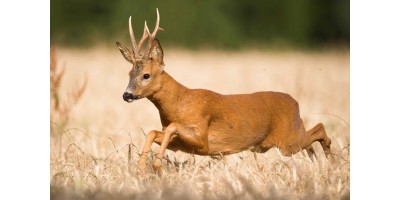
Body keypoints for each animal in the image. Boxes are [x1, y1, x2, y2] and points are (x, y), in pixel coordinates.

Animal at [115, 8, 332, 173]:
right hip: (289, 137)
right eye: (129, 73)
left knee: (320, 129)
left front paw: (156, 164)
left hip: (287, 140)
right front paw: (142, 168)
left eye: (146, 75)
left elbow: (172, 127)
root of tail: (295, 102)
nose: (127, 94)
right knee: (311, 139)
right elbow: (154, 132)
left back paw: (331, 163)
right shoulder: (180, 144)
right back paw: (317, 163)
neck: (179, 102)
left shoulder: (202, 136)